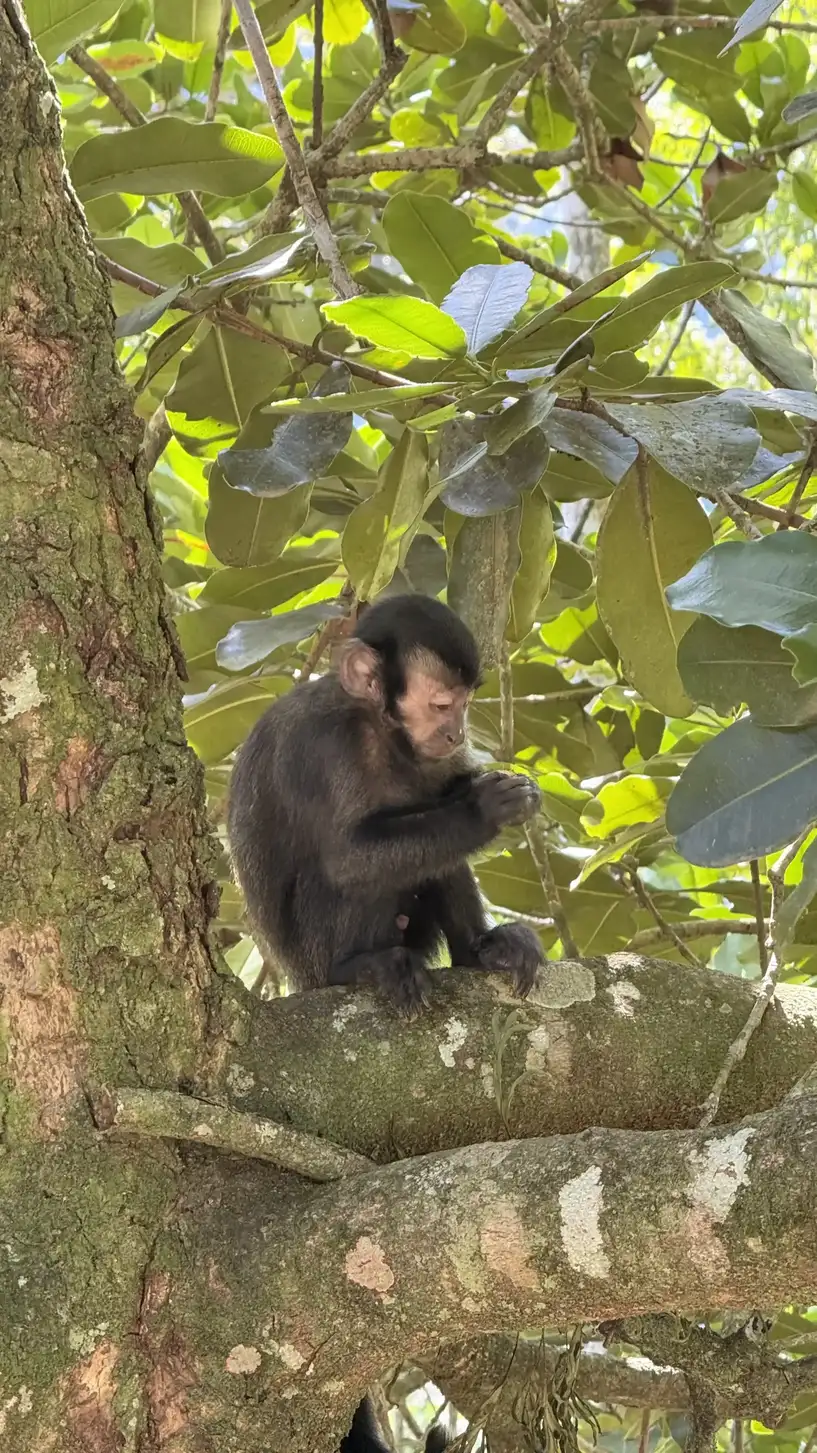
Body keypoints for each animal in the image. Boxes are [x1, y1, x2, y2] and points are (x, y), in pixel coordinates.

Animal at [228, 593, 545, 1017]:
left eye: (465, 704)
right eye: (441, 705)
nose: (457, 734)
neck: (376, 721)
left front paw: (518, 790)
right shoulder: (326, 745)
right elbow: (348, 859)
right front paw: (485, 808)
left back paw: (478, 952)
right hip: (316, 960)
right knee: (354, 874)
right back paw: (356, 966)